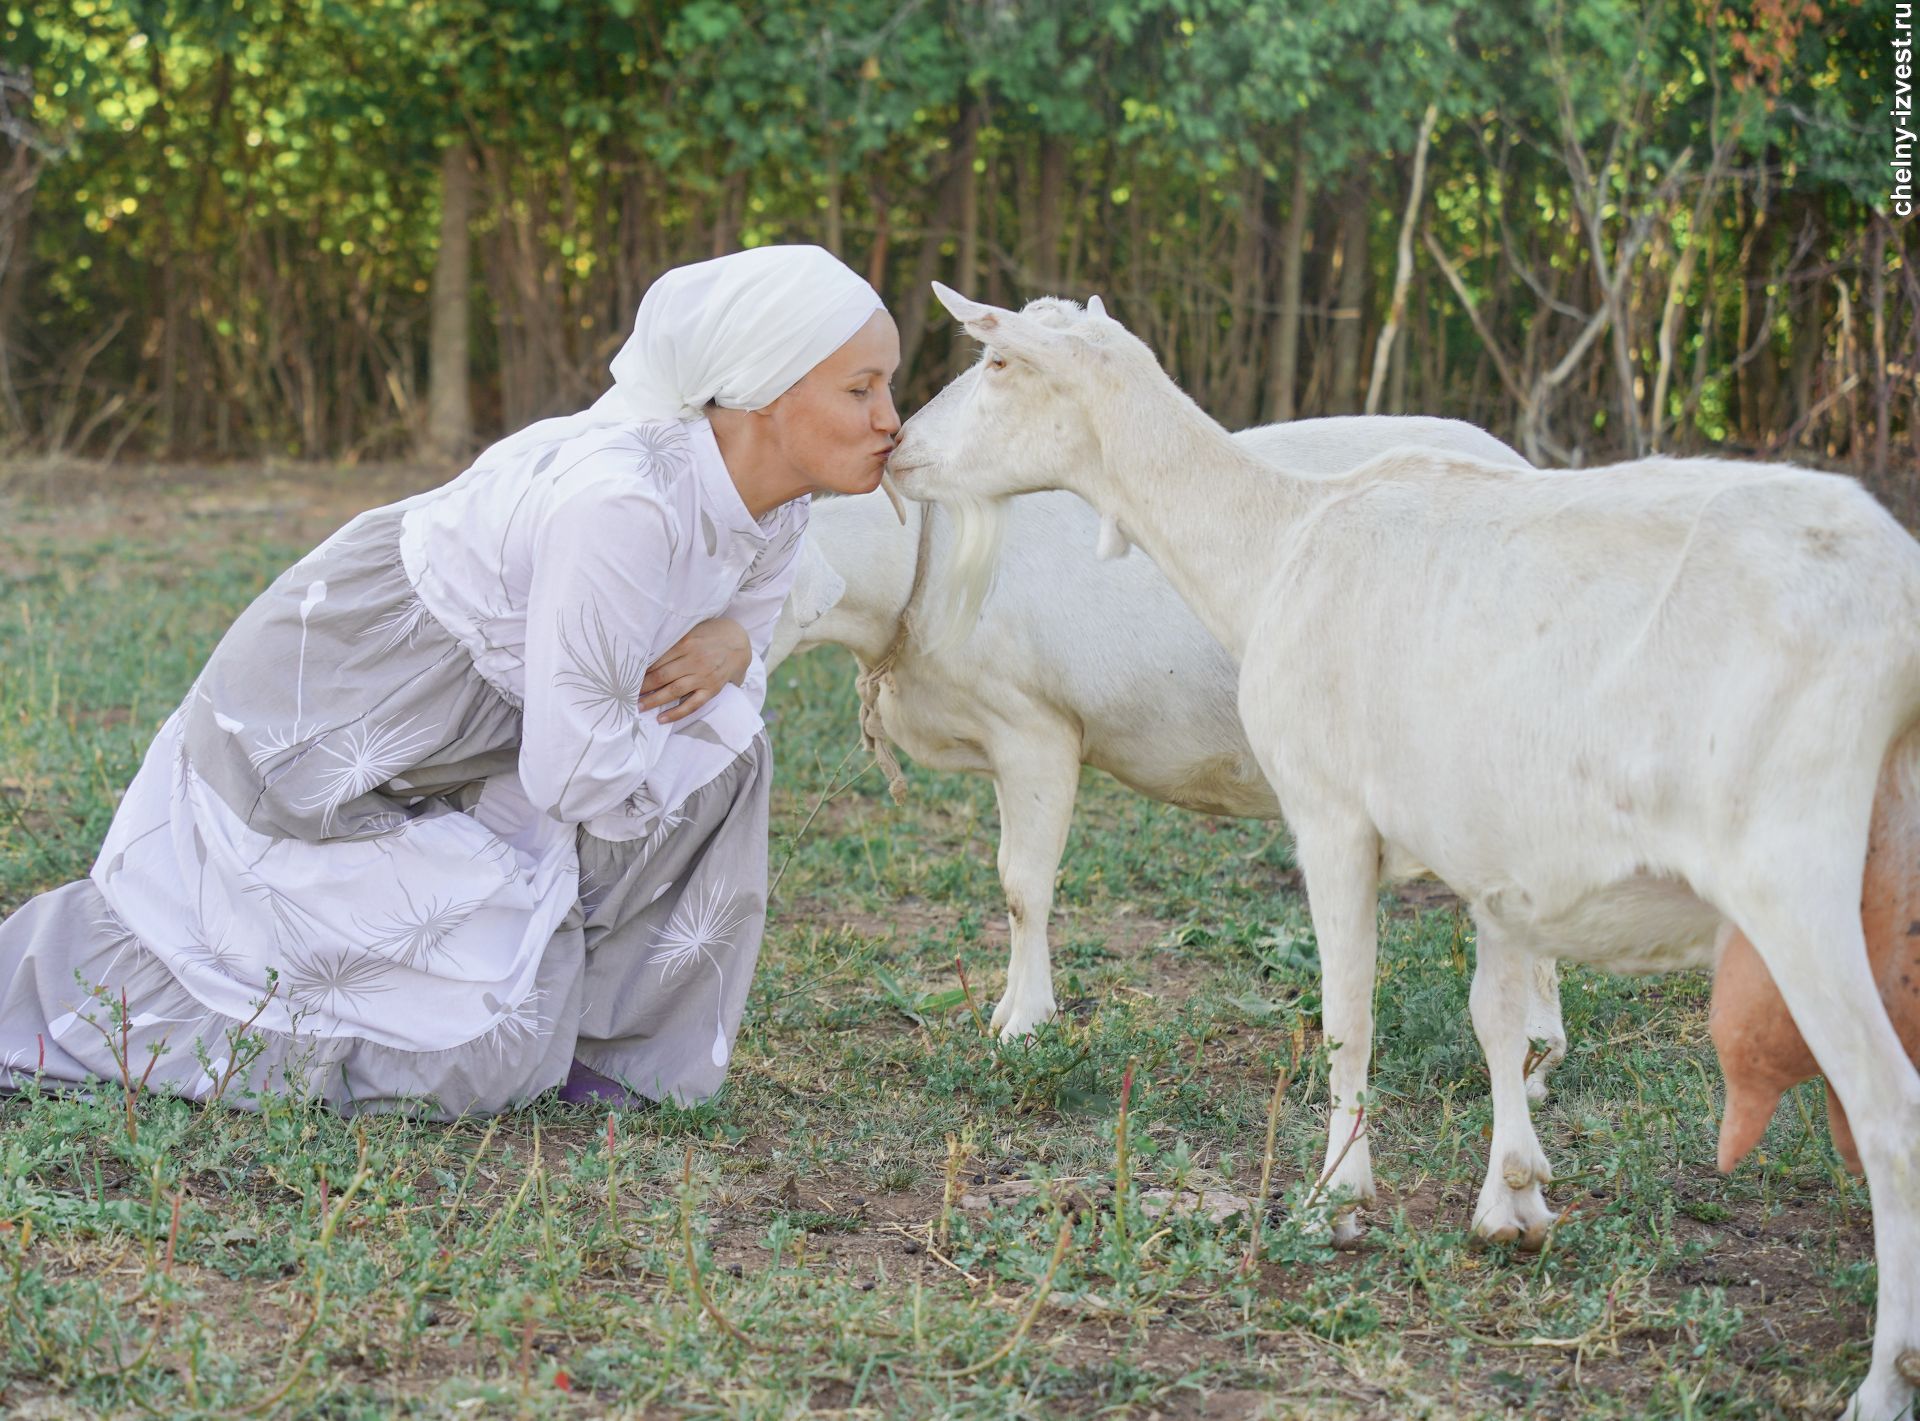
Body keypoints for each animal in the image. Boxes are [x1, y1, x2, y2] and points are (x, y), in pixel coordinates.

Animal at [890, 288, 1920, 1421]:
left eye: (997, 366)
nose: (897, 446)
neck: (1274, 544)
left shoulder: (1330, 811)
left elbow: (1348, 1009)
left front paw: (1335, 1195)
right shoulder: (1496, 850)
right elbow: (1498, 1018)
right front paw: (1514, 1198)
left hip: (1797, 870)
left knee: (1890, 1112)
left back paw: (1885, 1378)